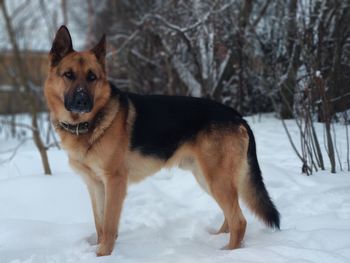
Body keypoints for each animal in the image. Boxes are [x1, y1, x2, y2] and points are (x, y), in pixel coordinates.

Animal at [43, 26, 280, 258]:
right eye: (69, 75)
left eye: (92, 77)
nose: (82, 102)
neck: (86, 125)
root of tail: (237, 116)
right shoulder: (95, 185)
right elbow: (100, 225)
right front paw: (100, 249)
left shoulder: (114, 182)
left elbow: (109, 225)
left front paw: (104, 254)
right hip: (207, 178)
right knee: (230, 217)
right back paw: (217, 238)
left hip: (217, 179)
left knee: (239, 221)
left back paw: (228, 253)